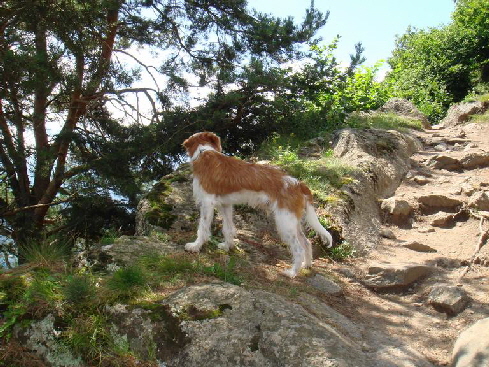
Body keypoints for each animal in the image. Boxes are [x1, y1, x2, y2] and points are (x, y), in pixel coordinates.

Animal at [181, 131, 334, 278]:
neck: (203, 152)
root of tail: (298, 184)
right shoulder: (225, 205)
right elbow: (228, 228)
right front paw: (228, 246)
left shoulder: (207, 203)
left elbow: (202, 228)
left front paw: (195, 246)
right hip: (292, 223)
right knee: (307, 243)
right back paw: (306, 265)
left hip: (285, 222)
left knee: (299, 249)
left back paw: (292, 273)